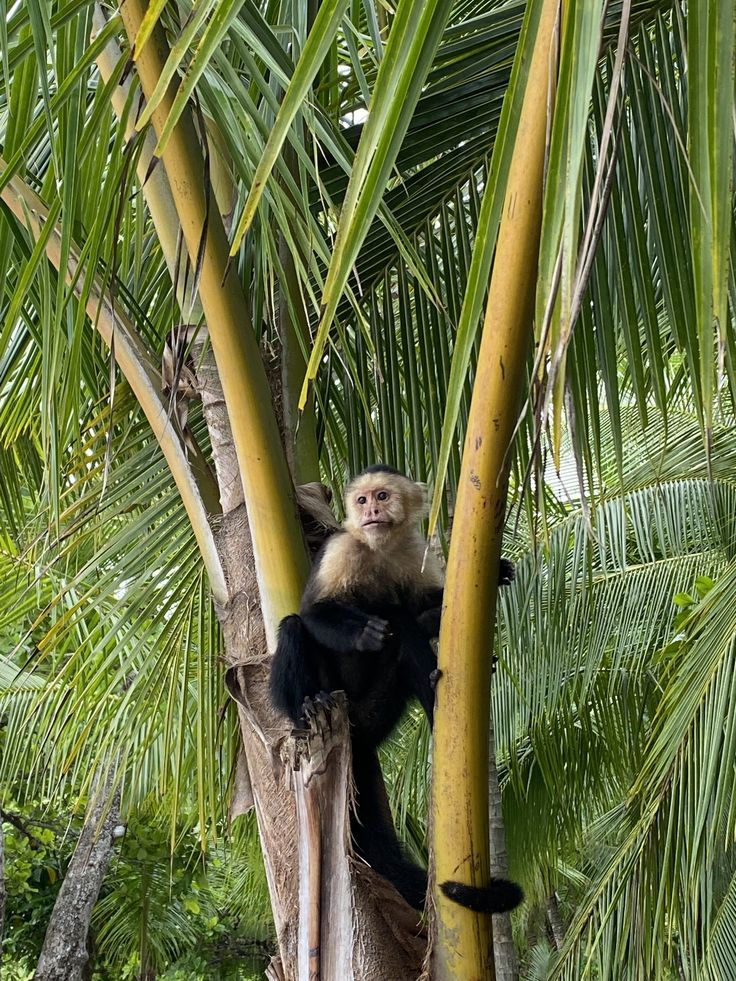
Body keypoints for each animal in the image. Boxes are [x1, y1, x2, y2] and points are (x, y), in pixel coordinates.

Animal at [270, 466, 524, 912]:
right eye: (361, 500)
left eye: (383, 496)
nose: (371, 511)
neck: (379, 548)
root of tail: (354, 726)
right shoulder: (341, 547)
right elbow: (314, 612)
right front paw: (364, 632)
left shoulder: (412, 552)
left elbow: (424, 611)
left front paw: (495, 574)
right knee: (294, 628)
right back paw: (307, 706)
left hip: (379, 710)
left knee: (404, 630)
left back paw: (439, 700)